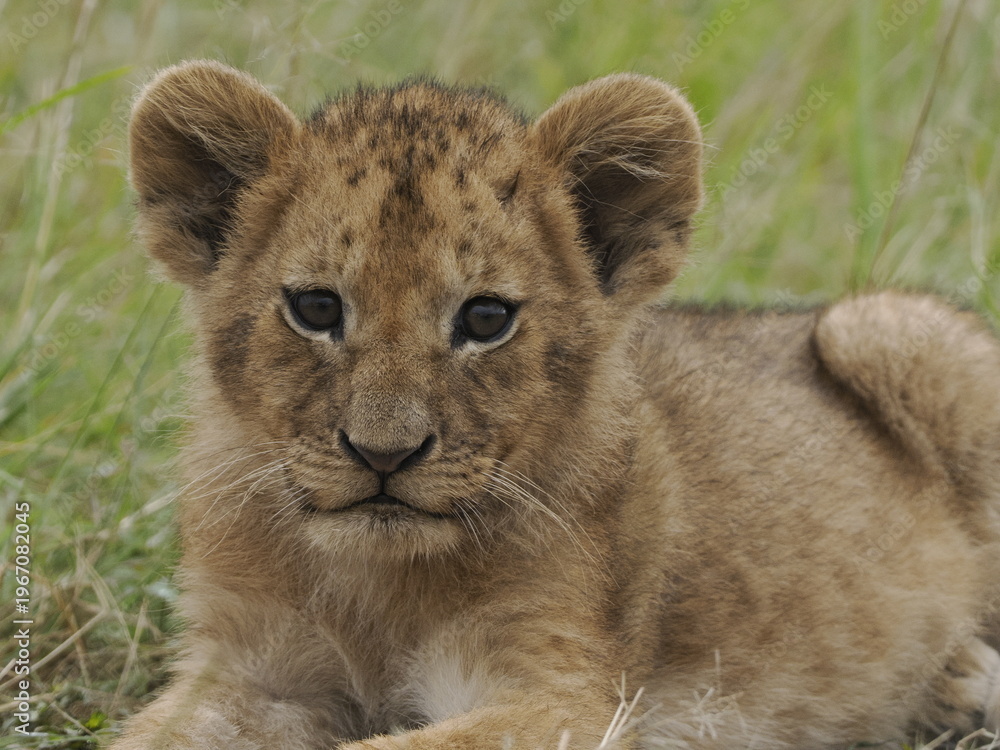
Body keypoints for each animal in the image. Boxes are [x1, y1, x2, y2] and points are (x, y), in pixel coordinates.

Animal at [113, 60, 1000, 749]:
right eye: (317, 308)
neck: (376, 583)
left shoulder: (567, 693)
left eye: (485, 319)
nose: (383, 455)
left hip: (885, 327)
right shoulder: (250, 669)